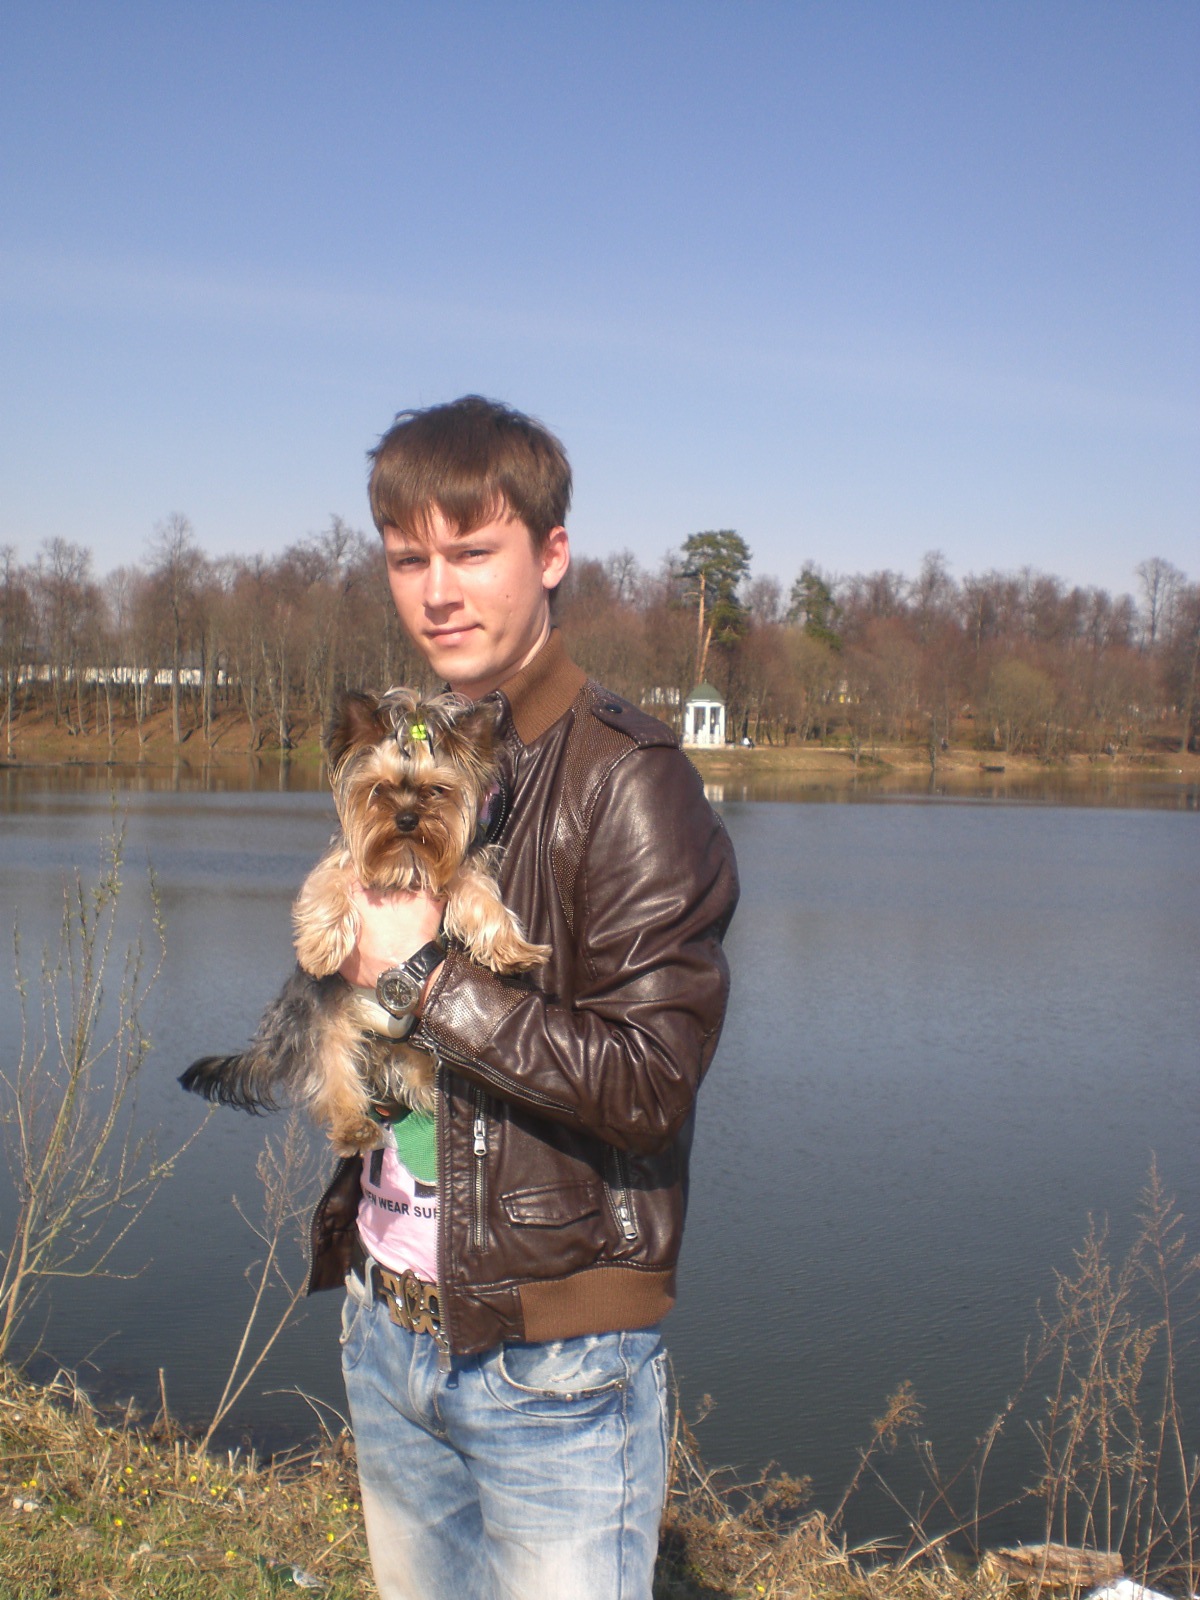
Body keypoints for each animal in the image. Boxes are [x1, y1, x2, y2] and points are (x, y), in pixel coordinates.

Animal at [179, 687, 548, 1154]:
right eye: (380, 789)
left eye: (435, 791)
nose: (406, 819)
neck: (405, 861)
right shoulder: (342, 864)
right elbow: (325, 887)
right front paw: (319, 947)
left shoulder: (464, 869)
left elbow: (482, 898)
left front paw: (513, 950)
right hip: (324, 1022)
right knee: (334, 1075)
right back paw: (355, 1126)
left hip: (407, 1047)